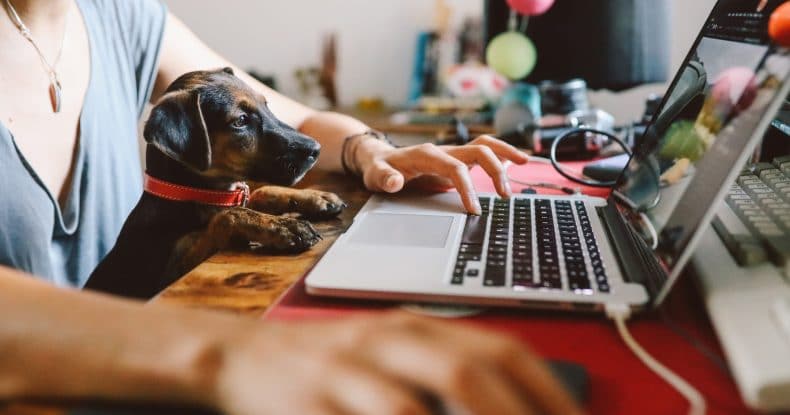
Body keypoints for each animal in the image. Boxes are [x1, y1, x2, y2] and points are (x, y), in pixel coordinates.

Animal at [85, 67, 344, 300]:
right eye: (240, 121)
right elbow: (228, 216)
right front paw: (285, 226)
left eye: (266, 104)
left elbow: (259, 192)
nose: (316, 149)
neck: (191, 193)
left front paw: (317, 197)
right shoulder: (168, 271)